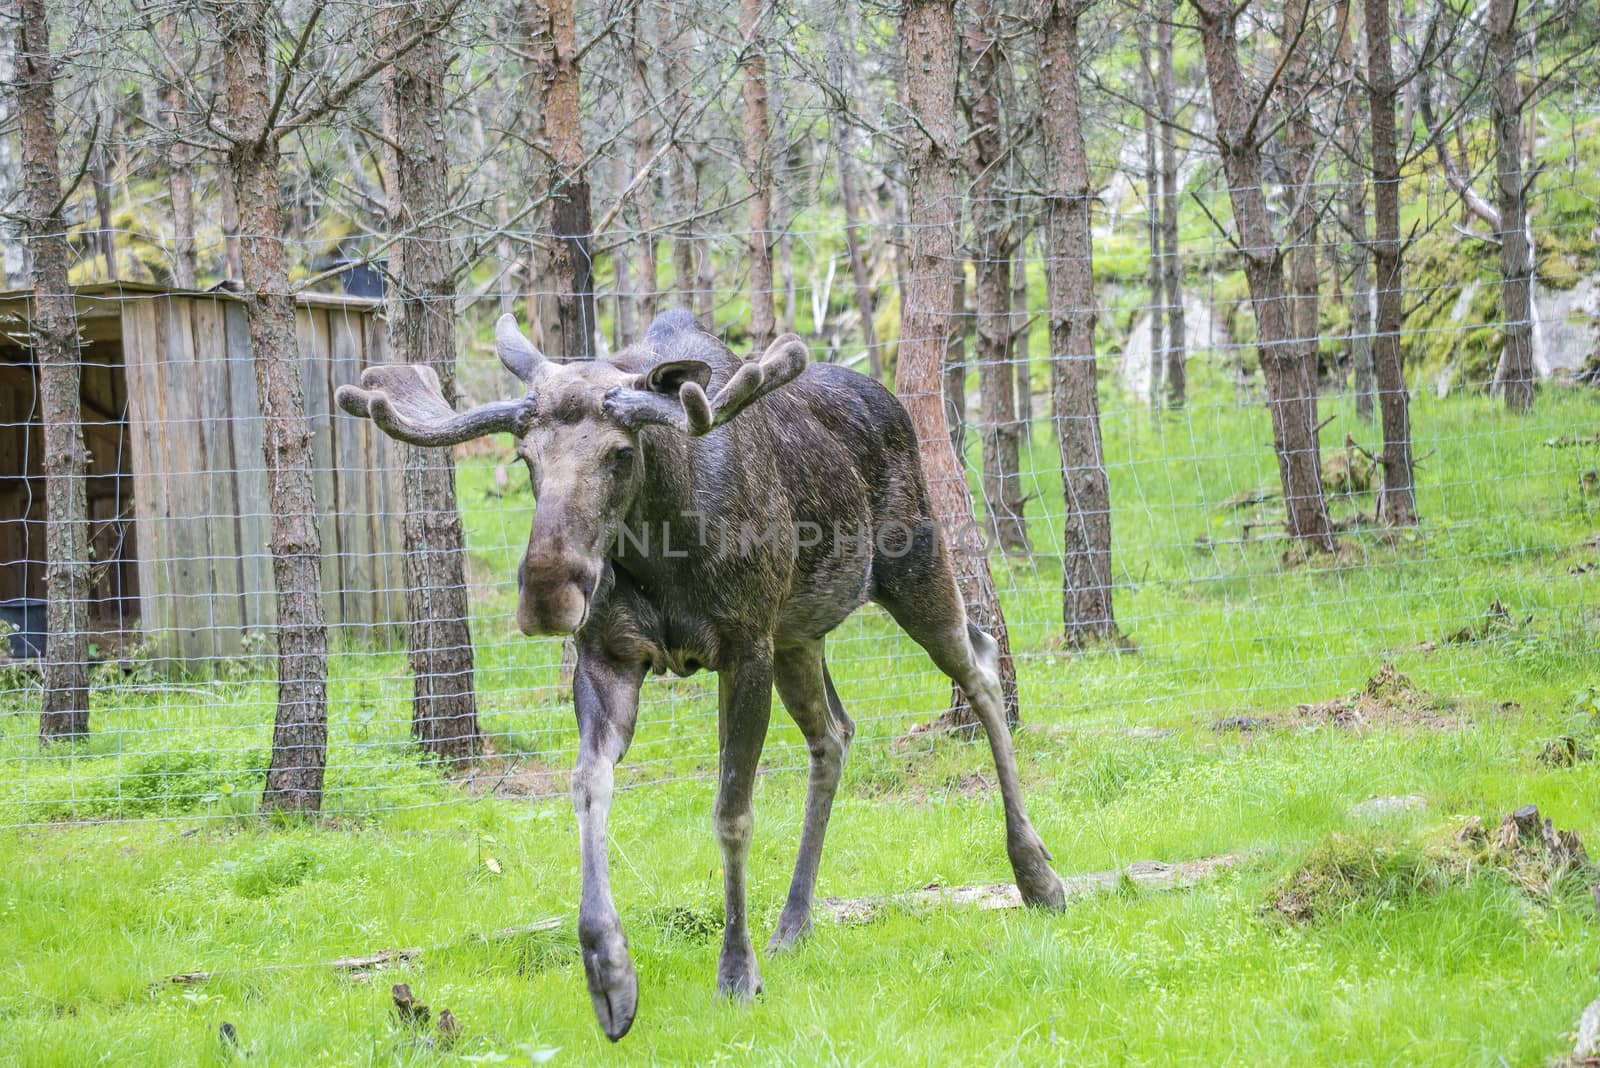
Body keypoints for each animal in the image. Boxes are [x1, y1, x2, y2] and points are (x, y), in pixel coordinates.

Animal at [336, 310, 1062, 1042]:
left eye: (621, 454)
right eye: (525, 459)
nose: (547, 595)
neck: (663, 543)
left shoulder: (743, 649)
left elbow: (732, 812)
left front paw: (736, 974)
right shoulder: (610, 655)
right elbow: (586, 785)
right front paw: (609, 973)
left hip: (912, 567)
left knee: (981, 664)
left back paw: (1037, 875)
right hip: (798, 634)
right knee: (834, 733)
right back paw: (794, 921)